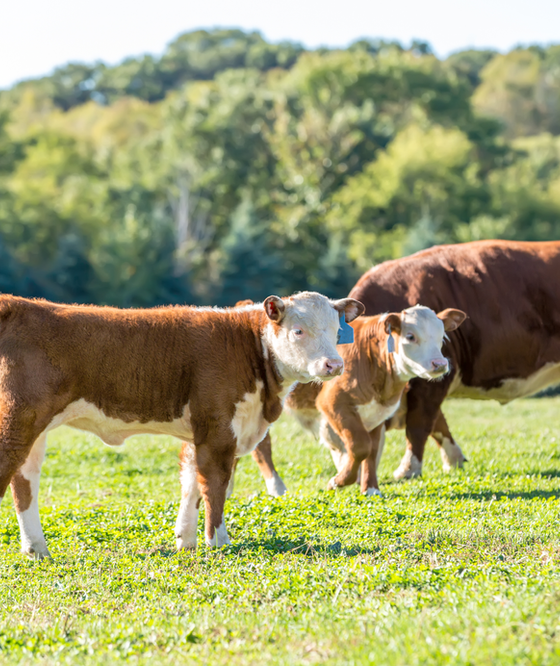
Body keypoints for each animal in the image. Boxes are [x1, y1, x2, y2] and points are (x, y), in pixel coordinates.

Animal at [0, 292, 364, 557]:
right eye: (298, 330)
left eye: (336, 331)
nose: (334, 365)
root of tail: (19, 304)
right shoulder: (218, 429)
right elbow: (215, 484)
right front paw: (217, 541)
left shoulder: (201, 430)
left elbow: (191, 482)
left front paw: (185, 539)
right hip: (18, 417)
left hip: (34, 426)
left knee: (25, 481)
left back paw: (36, 549)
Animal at [246, 306, 466, 495]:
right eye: (410, 336)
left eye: (442, 336)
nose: (440, 363)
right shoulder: (333, 403)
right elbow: (361, 445)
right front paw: (339, 481)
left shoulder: (377, 412)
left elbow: (373, 450)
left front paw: (371, 488)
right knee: (261, 446)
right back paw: (277, 488)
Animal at [349, 240, 560, 480]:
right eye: (410, 336)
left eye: (443, 337)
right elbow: (439, 425)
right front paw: (453, 459)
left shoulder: (428, 384)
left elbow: (420, 425)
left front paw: (409, 468)